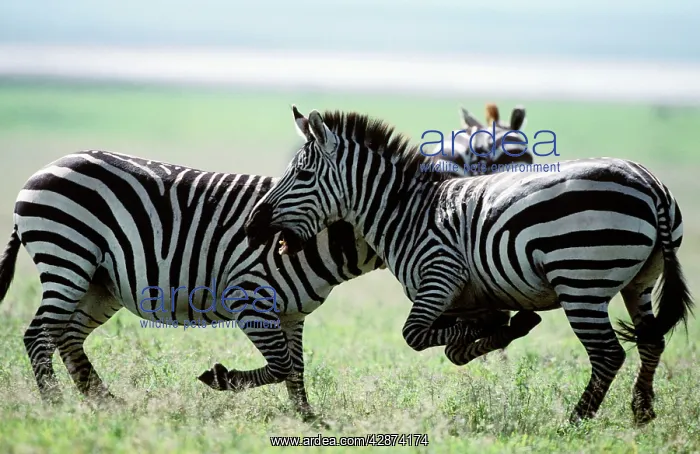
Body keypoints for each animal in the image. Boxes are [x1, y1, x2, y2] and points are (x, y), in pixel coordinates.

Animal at [0, 103, 526, 423]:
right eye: (489, 157)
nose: (526, 204)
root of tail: (46, 167)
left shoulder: (291, 313)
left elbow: (295, 371)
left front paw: (312, 423)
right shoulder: (250, 300)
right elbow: (278, 367)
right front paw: (221, 379)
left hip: (99, 283)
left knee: (67, 336)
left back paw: (105, 404)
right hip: (69, 257)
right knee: (38, 335)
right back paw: (54, 406)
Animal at [245, 108, 694, 425]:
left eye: (302, 174)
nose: (253, 225)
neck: (406, 213)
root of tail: (649, 184)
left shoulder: (439, 275)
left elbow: (415, 336)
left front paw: (492, 330)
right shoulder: (469, 297)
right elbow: (457, 350)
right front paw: (504, 328)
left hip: (581, 283)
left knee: (608, 354)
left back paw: (576, 421)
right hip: (640, 282)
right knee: (652, 340)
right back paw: (642, 413)